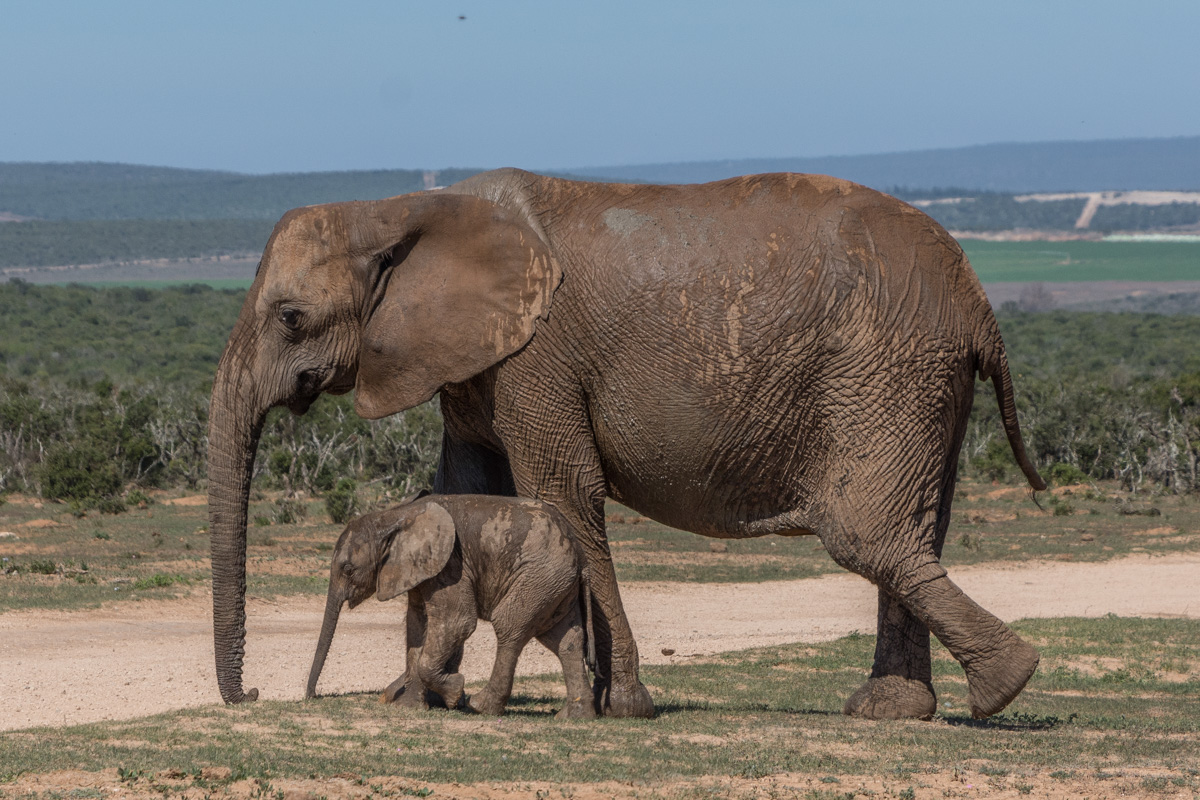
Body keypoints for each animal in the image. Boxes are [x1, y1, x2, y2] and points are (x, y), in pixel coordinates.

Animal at [305, 493, 596, 719]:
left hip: (540, 576)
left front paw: (455, 693)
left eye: (348, 569)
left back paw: (480, 706)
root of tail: (580, 552)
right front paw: (407, 705)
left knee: (510, 628)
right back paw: (573, 716)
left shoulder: (451, 565)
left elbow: (457, 622)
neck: (394, 516)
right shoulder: (422, 570)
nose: (311, 696)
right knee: (565, 640)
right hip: (556, 584)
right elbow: (417, 625)